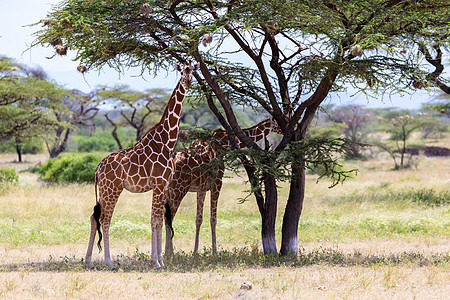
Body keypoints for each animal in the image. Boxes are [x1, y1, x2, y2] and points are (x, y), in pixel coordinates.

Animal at [85, 61, 198, 270]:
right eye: (181, 71)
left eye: (193, 70)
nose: (188, 81)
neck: (166, 142)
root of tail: (97, 168)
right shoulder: (159, 184)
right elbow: (154, 220)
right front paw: (156, 261)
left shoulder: (163, 185)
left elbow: (158, 220)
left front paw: (160, 260)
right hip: (113, 189)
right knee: (105, 219)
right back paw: (109, 262)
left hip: (105, 190)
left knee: (94, 217)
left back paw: (88, 261)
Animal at [163, 118, 280, 254]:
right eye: (278, 123)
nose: (284, 130)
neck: (223, 142)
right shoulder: (217, 182)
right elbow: (213, 219)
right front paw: (215, 252)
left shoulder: (201, 188)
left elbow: (198, 219)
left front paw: (195, 252)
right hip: (178, 189)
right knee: (168, 218)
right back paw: (168, 254)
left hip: (169, 191)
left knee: (165, 218)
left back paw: (168, 253)